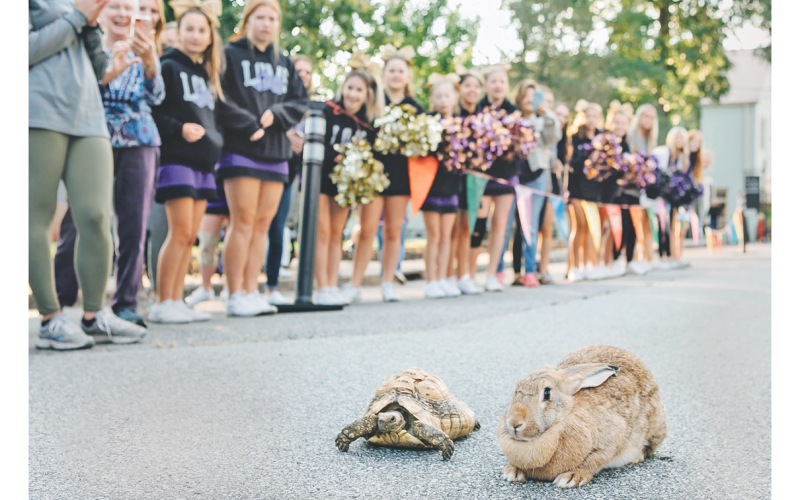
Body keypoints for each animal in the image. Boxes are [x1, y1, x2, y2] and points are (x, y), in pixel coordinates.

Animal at [497, 345, 667, 489]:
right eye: (516, 389)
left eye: (546, 393)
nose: (514, 423)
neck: (566, 413)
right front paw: (512, 472)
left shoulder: (611, 440)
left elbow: (595, 460)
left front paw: (572, 477)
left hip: (653, 427)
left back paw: (636, 457)